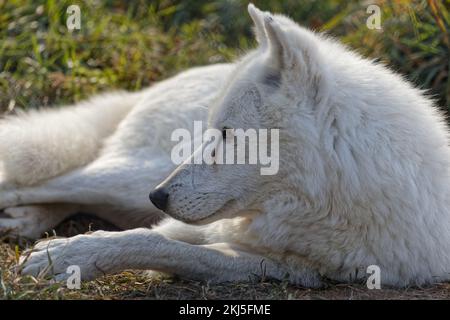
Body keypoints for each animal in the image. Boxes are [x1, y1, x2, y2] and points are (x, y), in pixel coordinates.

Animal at [0, 3, 450, 286]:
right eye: (211, 130)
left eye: (228, 134)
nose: (158, 197)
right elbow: (148, 236)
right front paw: (65, 254)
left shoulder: (292, 268)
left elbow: (169, 247)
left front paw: (70, 255)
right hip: (132, 176)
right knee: (38, 182)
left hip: (130, 186)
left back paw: (24, 221)